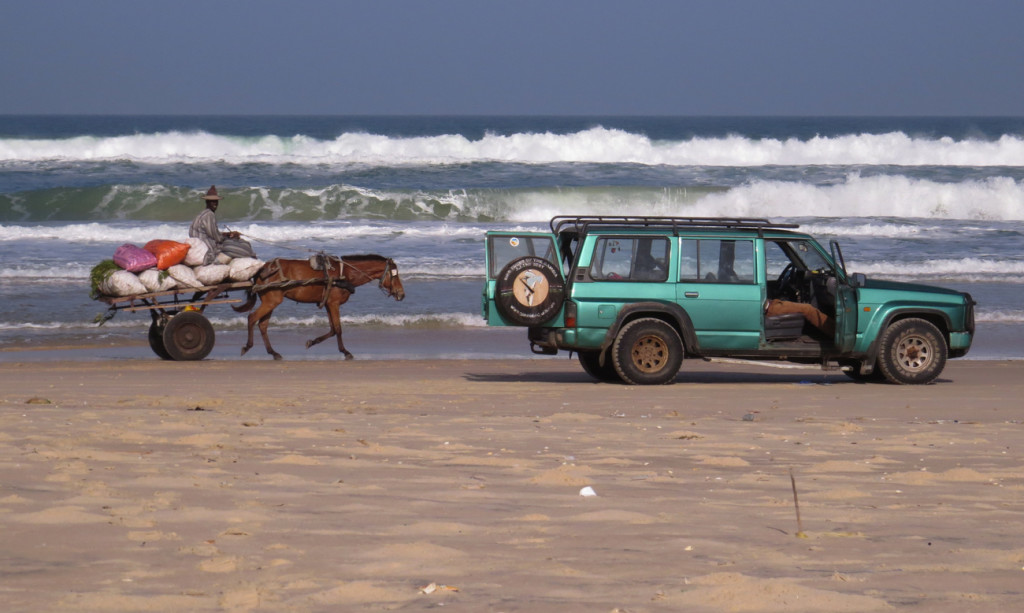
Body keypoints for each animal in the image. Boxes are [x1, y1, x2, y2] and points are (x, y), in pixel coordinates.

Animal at [234, 253, 405, 360]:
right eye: (395, 275)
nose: (401, 294)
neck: (345, 273)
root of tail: (262, 269)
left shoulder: (329, 303)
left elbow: (332, 329)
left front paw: (312, 342)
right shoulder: (334, 304)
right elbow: (338, 329)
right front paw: (345, 351)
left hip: (271, 302)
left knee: (262, 325)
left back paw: (273, 352)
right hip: (271, 301)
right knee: (252, 318)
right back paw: (248, 346)